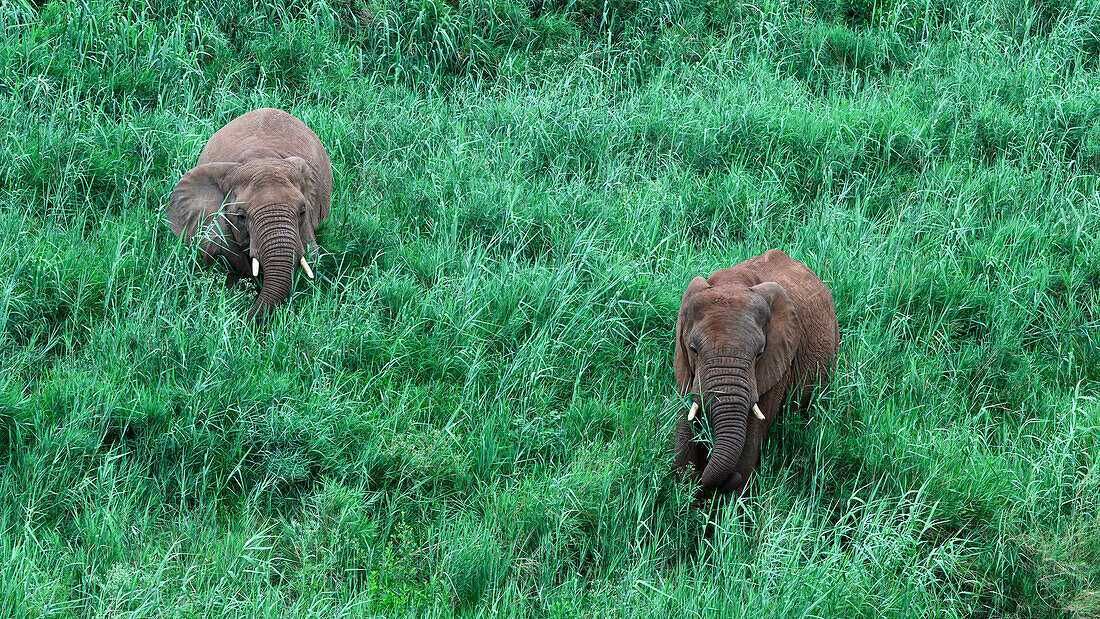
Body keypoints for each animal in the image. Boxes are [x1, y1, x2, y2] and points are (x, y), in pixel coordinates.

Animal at [668, 249, 840, 496]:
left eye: (759, 353)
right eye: (693, 349)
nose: (727, 481)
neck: (732, 282)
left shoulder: (780, 361)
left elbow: (750, 439)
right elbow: (685, 428)